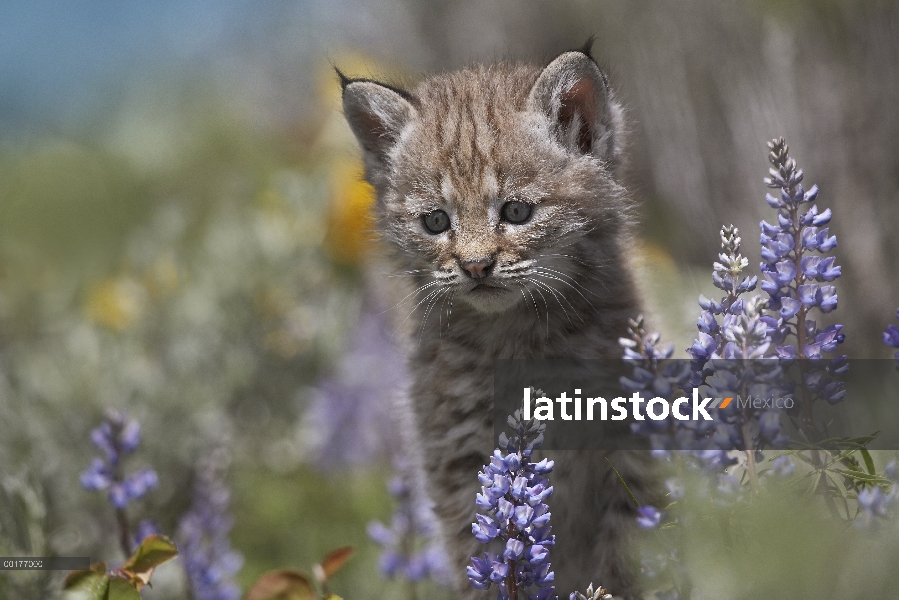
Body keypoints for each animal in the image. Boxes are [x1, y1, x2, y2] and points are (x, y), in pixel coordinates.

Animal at [342, 44, 652, 596]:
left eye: (516, 212)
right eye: (436, 221)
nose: (475, 266)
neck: (515, 334)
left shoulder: (629, 448)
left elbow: (625, 554)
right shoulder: (459, 460)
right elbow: (481, 553)